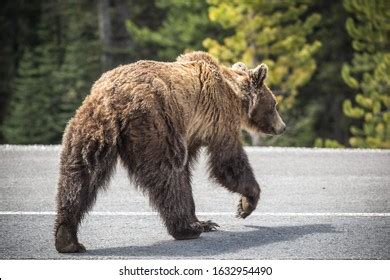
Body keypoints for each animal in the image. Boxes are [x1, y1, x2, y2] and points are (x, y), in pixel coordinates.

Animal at [53, 50, 284, 254]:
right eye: (274, 104)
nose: (282, 127)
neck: (235, 95)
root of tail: (115, 98)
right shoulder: (219, 118)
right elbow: (227, 162)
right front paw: (245, 204)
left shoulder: (191, 130)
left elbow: (189, 170)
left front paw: (207, 218)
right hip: (155, 122)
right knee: (166, 173)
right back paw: (186, 229)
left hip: (91, 126)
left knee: (78, 174)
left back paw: (67, 239)